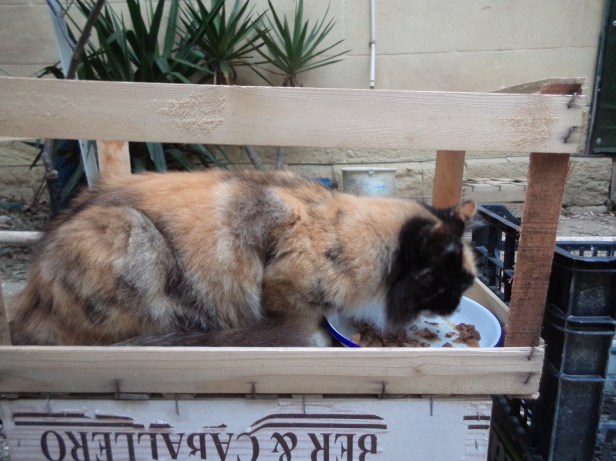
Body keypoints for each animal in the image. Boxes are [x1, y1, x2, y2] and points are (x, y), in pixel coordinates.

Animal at [8, 169, 477, 347]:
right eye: (448, 283)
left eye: (467, 283)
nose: (457, 305)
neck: (339, 232)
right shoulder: (282, 289)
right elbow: (309, 327)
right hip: (133, 234)